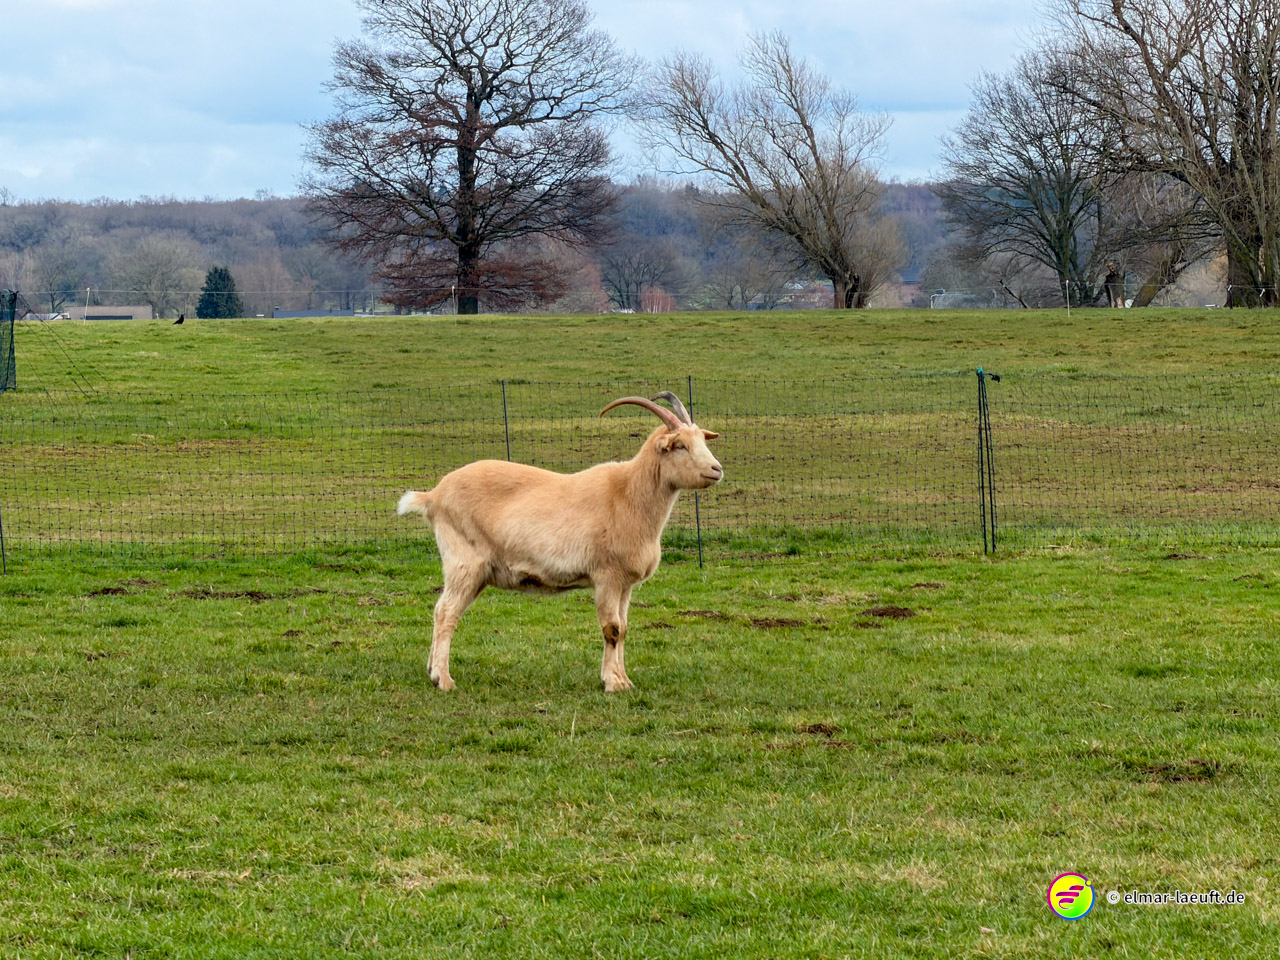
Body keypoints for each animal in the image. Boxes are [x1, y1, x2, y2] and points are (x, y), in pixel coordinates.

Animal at [397, 392, 722, 692]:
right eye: (680, 445)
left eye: (702, 440)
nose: (717, 469)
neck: (628, 494)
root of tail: (434, 496)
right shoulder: (606, 576)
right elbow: (612, 629)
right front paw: (612, 683)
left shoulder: (625, 583)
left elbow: (625, 628)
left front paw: (625, 680)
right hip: (465, 563)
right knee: (446, 613)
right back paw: (444, 680)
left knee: (441, 610)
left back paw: (432, 671)